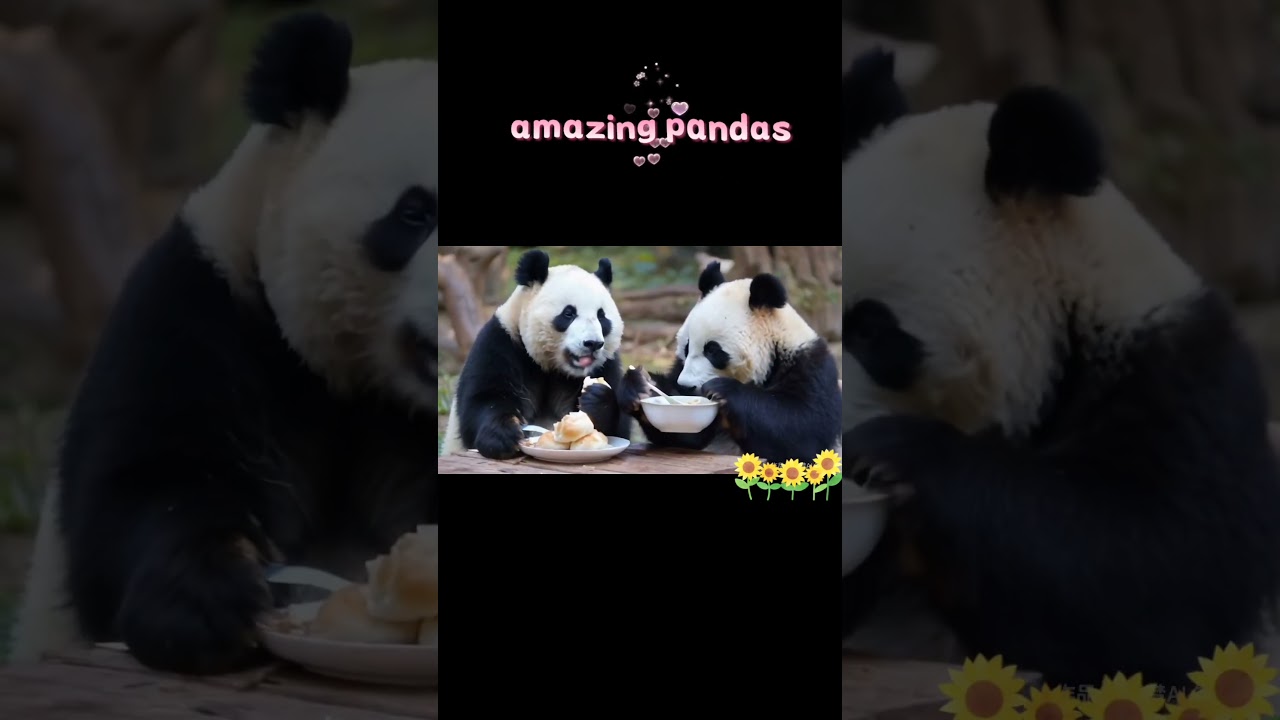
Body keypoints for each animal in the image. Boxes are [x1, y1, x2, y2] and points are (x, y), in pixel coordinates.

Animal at [442, 249, 628, 459]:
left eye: (601, 316)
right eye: (569, 313)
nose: (593, 344)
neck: (551, 366)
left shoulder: (607, 363)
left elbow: (618, 427)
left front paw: (597, 398)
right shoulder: (501, 343)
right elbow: (482, 399)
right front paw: (503, 436)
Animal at [618, 262, 841, 463]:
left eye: (712, 350)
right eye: (687, 347)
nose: (685, 386)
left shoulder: (811, 368)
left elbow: (801, 432)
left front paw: (724, 390)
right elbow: (687, 435)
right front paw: (641, 385)